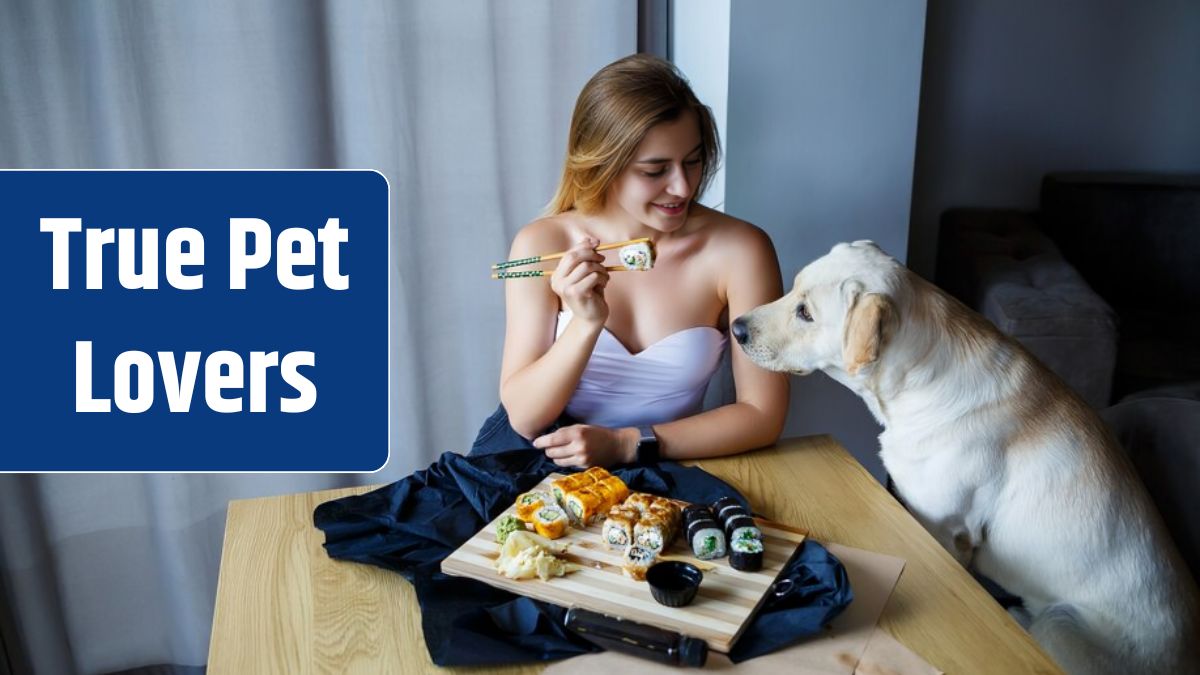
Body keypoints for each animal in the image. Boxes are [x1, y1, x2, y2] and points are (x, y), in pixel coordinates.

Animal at [734, 239, 1195, 667]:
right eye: (792, 290)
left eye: (805, 313)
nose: (736, 328)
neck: (917, 382)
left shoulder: (942, 528)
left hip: (1062, 620)